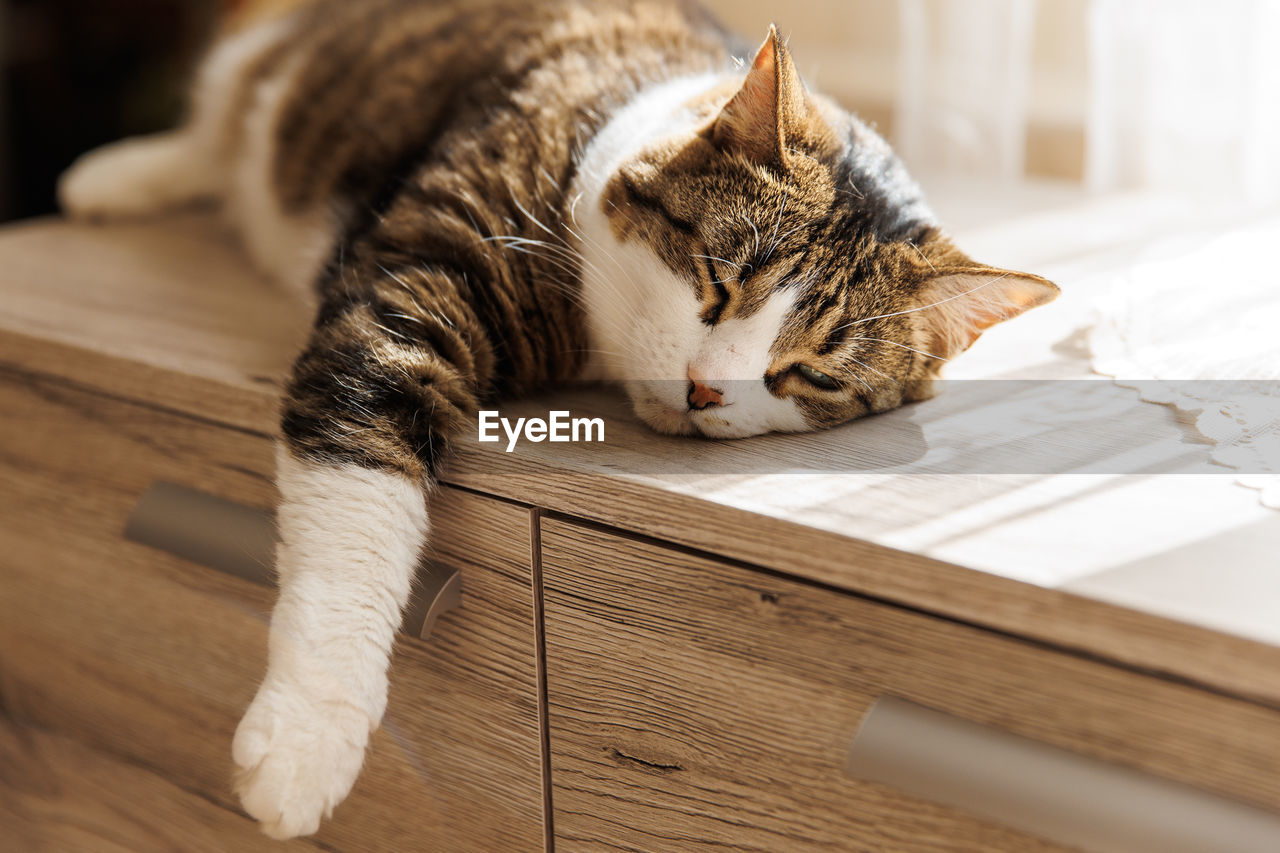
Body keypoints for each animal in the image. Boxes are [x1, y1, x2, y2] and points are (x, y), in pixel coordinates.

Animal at [57, 0, 1059, 835]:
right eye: (718, 281)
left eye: (807, 371)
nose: (704, 388)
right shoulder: (409, 289)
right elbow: (357, 504)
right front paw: (308, 736)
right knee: (222, 117)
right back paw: (114, 176)